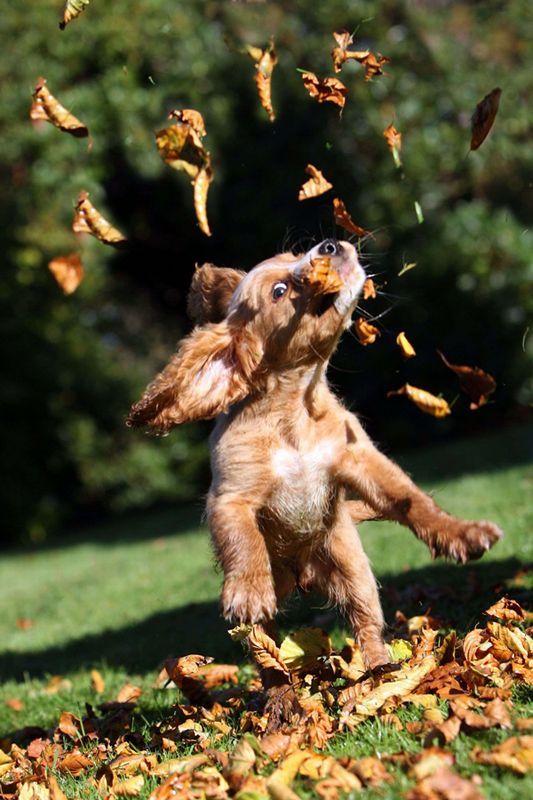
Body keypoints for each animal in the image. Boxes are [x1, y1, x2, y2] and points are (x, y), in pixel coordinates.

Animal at [127, 241, 500, 672]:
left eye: (294, 254)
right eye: (279, 291)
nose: (330, 245)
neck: (296, 413)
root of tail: (301, 576)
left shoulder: (362, 461)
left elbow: (413, 500)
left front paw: (461, 532)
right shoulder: (230, 496)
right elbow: (243, 539)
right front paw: (248, 589)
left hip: (352, 566)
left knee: (366, 622)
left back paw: (380, 667)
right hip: (263, 621)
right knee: (267, 651)